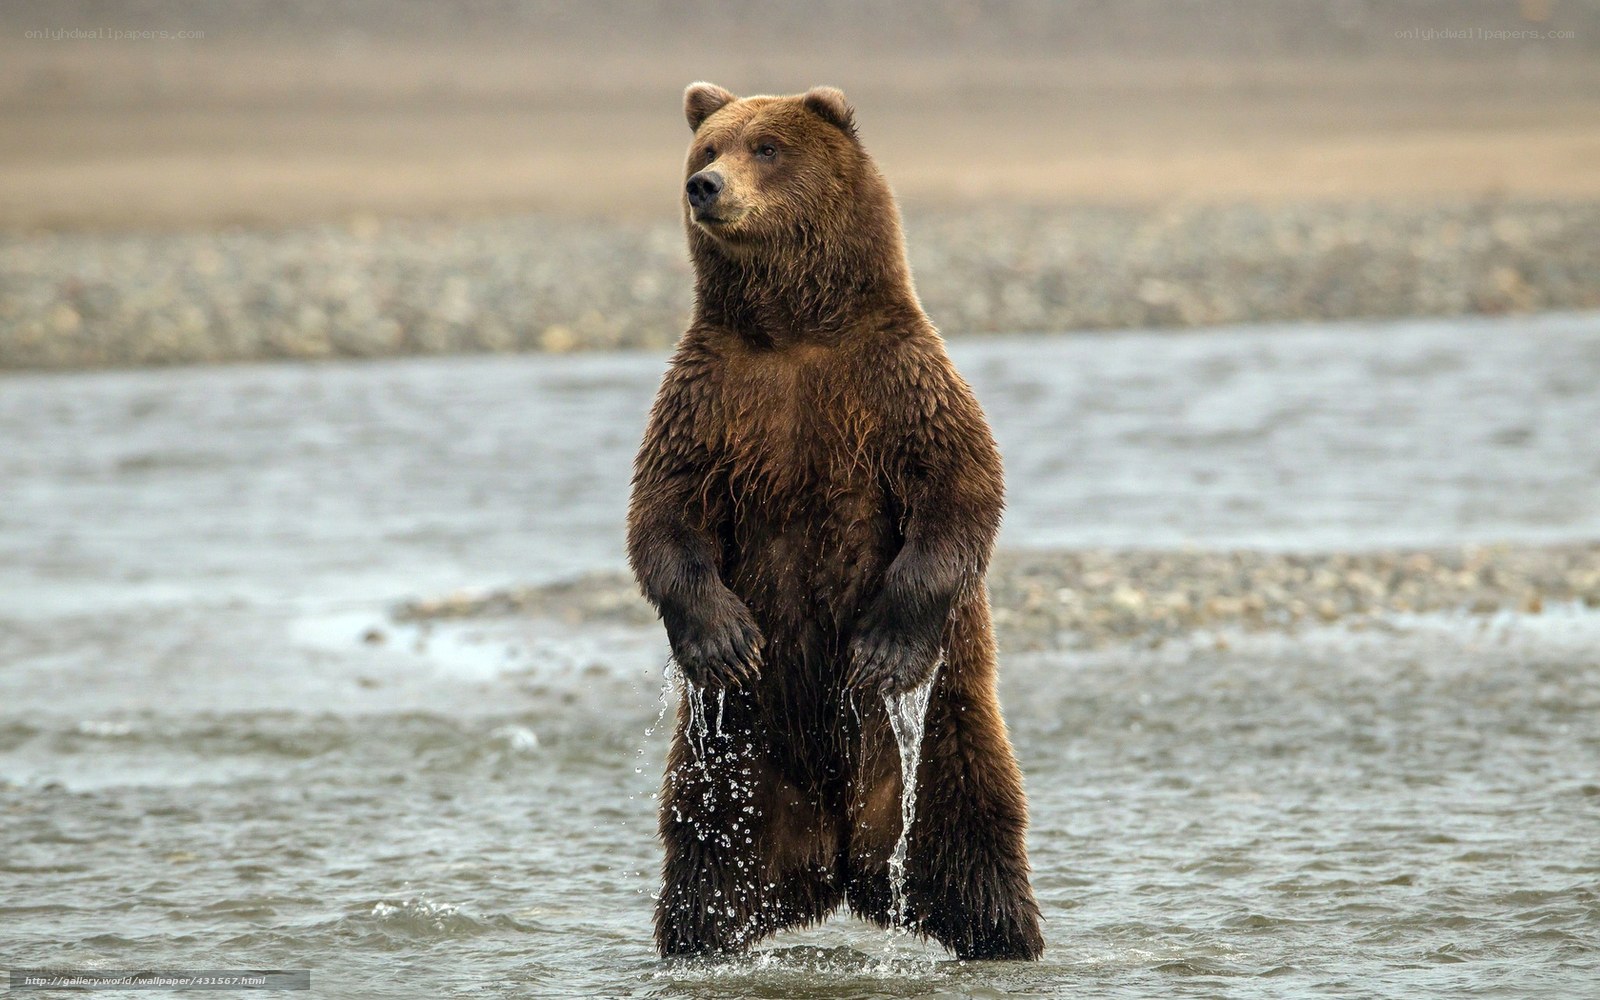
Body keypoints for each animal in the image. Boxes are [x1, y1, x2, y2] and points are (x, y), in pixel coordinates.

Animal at [626, 82, 1043, 961]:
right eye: (707, 147)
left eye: (767, 148)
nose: (704, 187)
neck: (793, 331)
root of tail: (839, 862)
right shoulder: (710, 400)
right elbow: (665, 515)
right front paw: (724, 641)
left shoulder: (898, 383)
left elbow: (960, 491)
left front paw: (882, 650)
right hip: (733, 760)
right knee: (704, 860)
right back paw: (699, 942)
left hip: (945, 732)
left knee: (975, 839)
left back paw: (1005, 938)